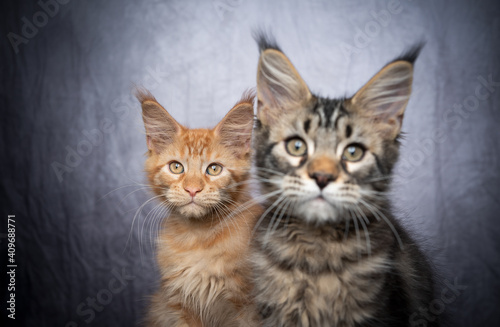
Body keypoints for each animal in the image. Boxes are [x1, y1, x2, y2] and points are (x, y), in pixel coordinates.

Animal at [137, 90, 262, 327]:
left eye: (214, 169)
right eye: (176, 167)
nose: (192, 189)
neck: (198, 239)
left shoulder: (248, 306)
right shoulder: (180, 305)